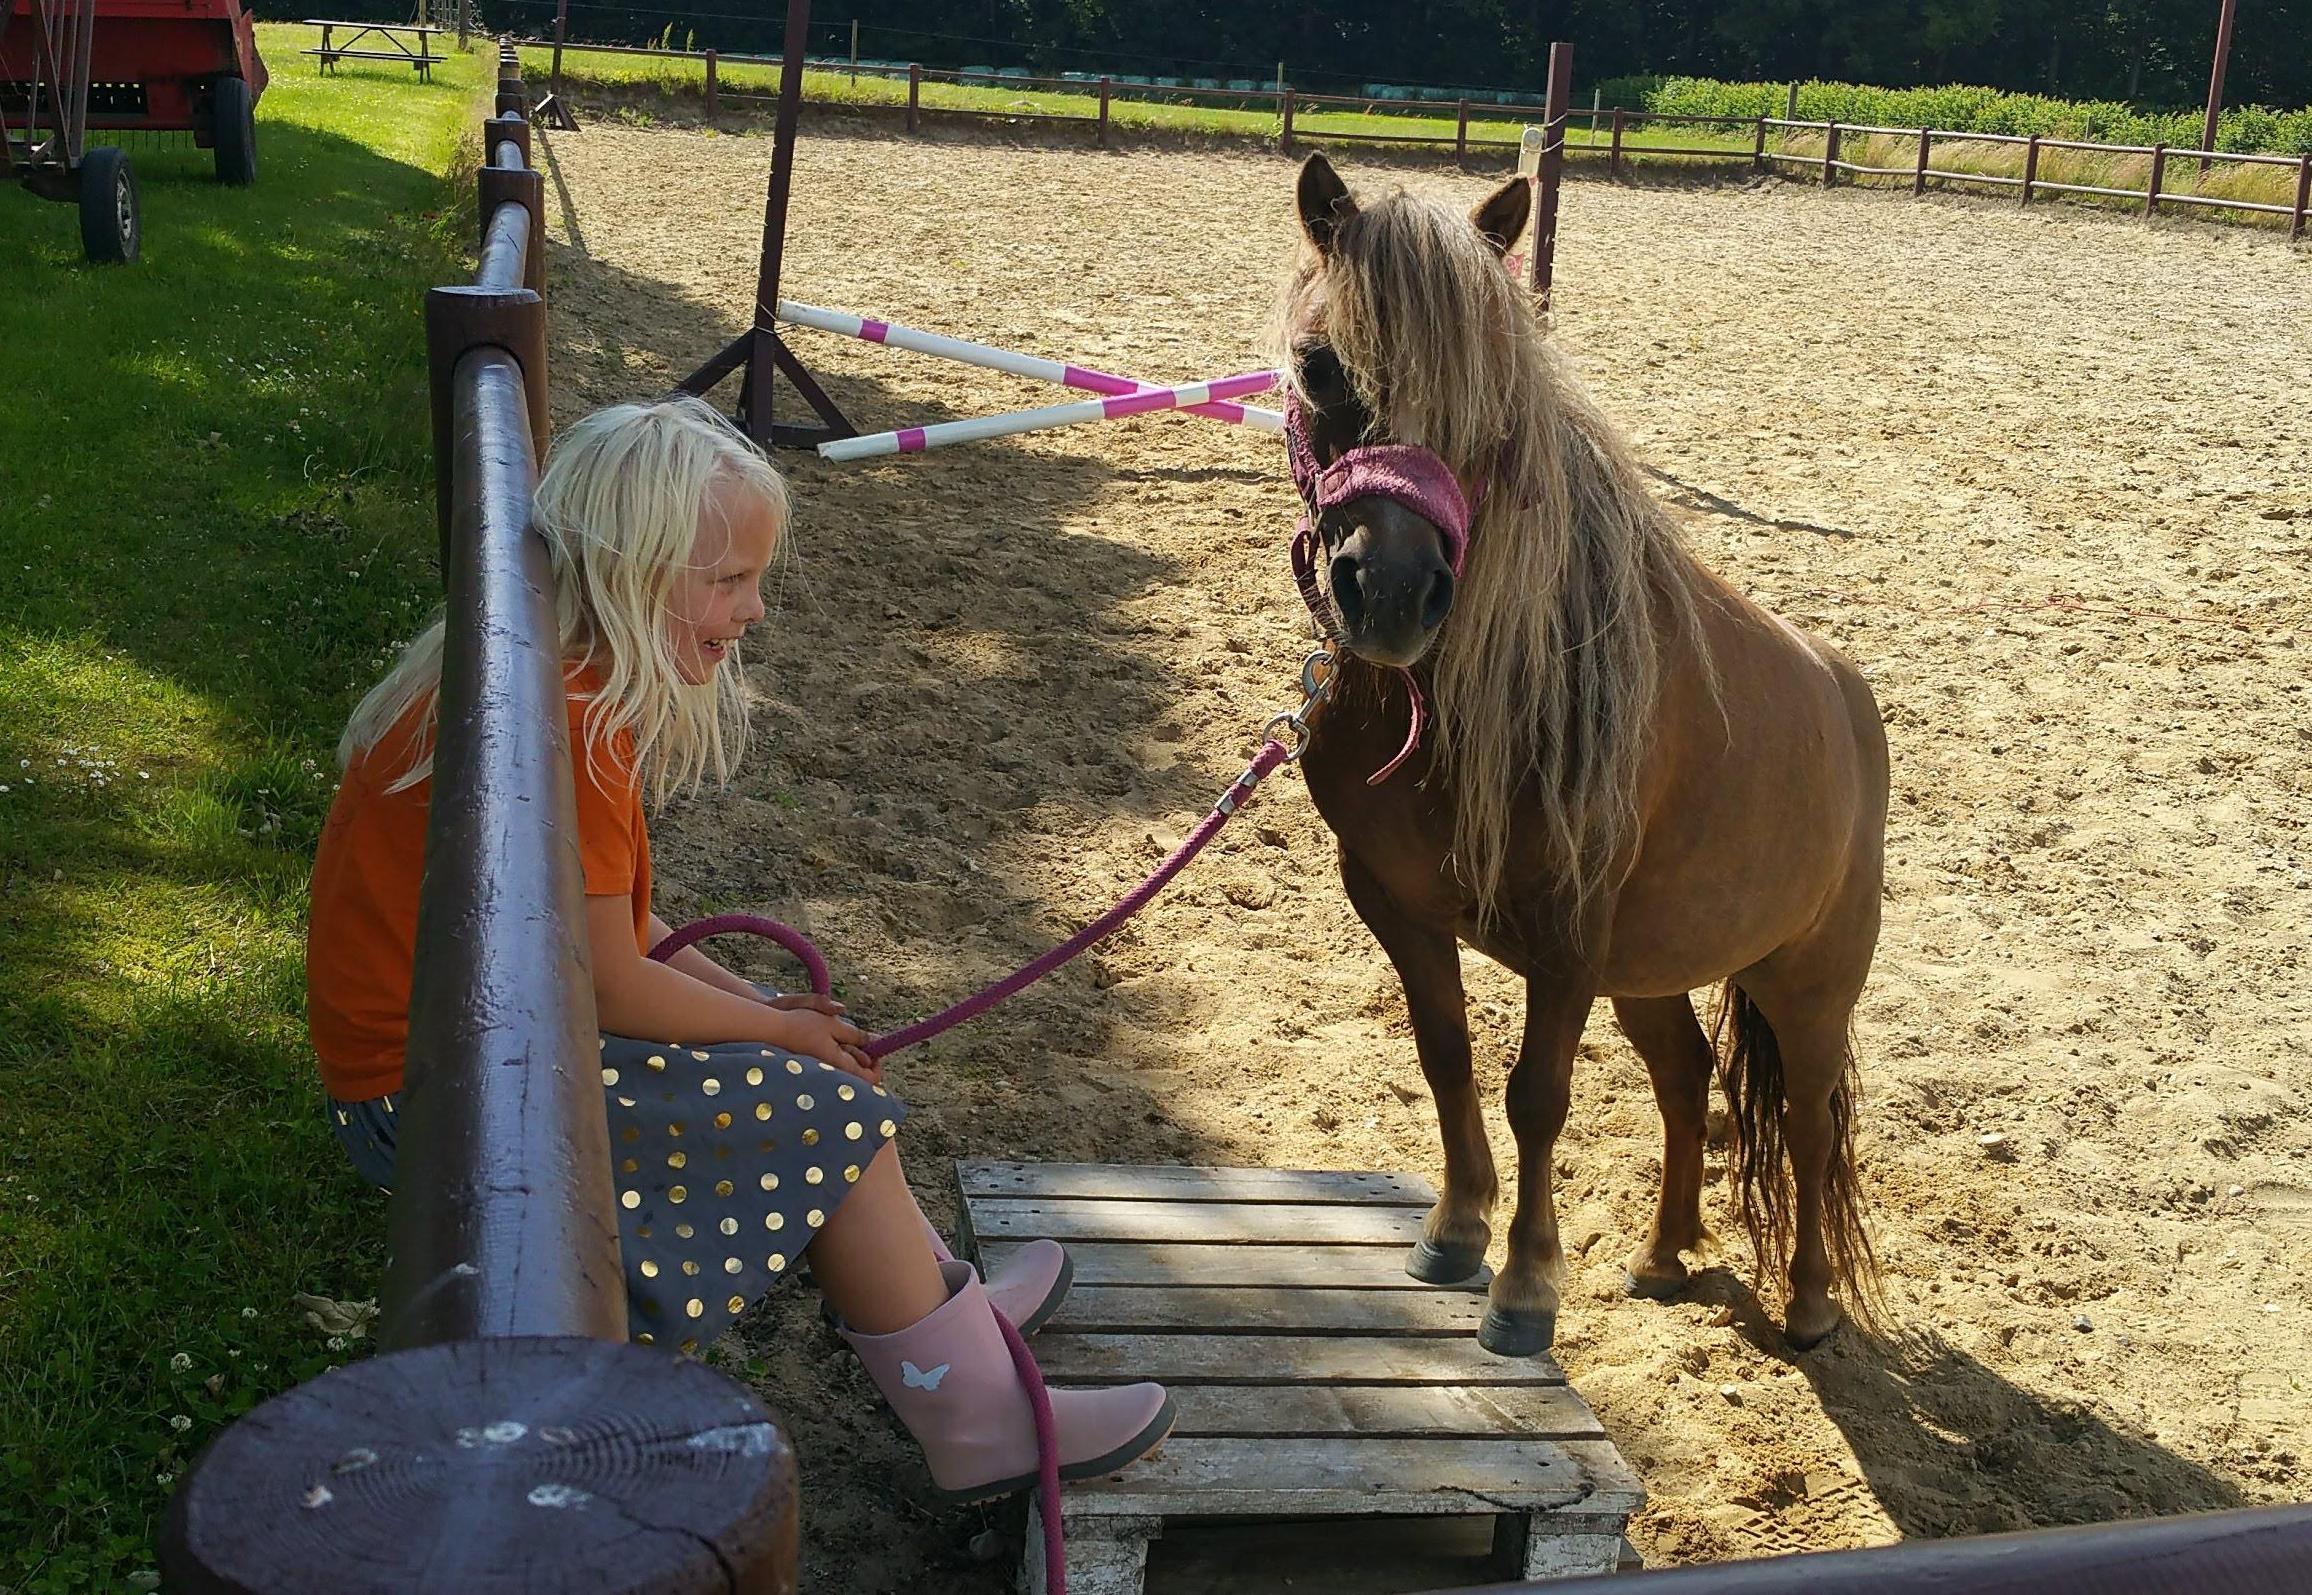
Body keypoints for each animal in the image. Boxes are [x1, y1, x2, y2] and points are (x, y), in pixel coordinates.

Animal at [1274, 153, 1887, 1354]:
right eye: (1319, 365)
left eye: (1497, 390)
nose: (1394, 594)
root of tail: (1846, 694)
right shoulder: (1394, 899)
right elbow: (1447, 1052)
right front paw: (1454, 1230)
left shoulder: (1566, 928)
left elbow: (1536, 1095)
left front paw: (1522, 1289)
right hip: (1649, 967)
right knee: (1686, 1077)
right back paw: (1661, 1254)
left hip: (1807, 986)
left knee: (1804, 1118)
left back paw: (1806, 1303)